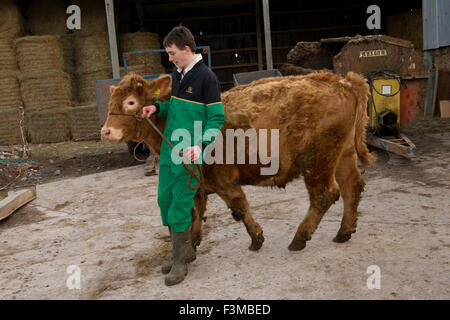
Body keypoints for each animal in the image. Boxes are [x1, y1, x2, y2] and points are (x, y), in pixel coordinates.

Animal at [102, 71, 376, 251]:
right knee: (352, 187)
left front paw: (256, 238)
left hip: (317, 161)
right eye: (110, 103)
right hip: (343, 156)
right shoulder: (197, 180)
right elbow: (196, 210)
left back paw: (300, 237)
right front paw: (193, 241)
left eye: (130, 102)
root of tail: (341, 80)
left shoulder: (224, 179)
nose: (105, 131)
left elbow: (239, 207)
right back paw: (344, 231)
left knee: (325, 195)